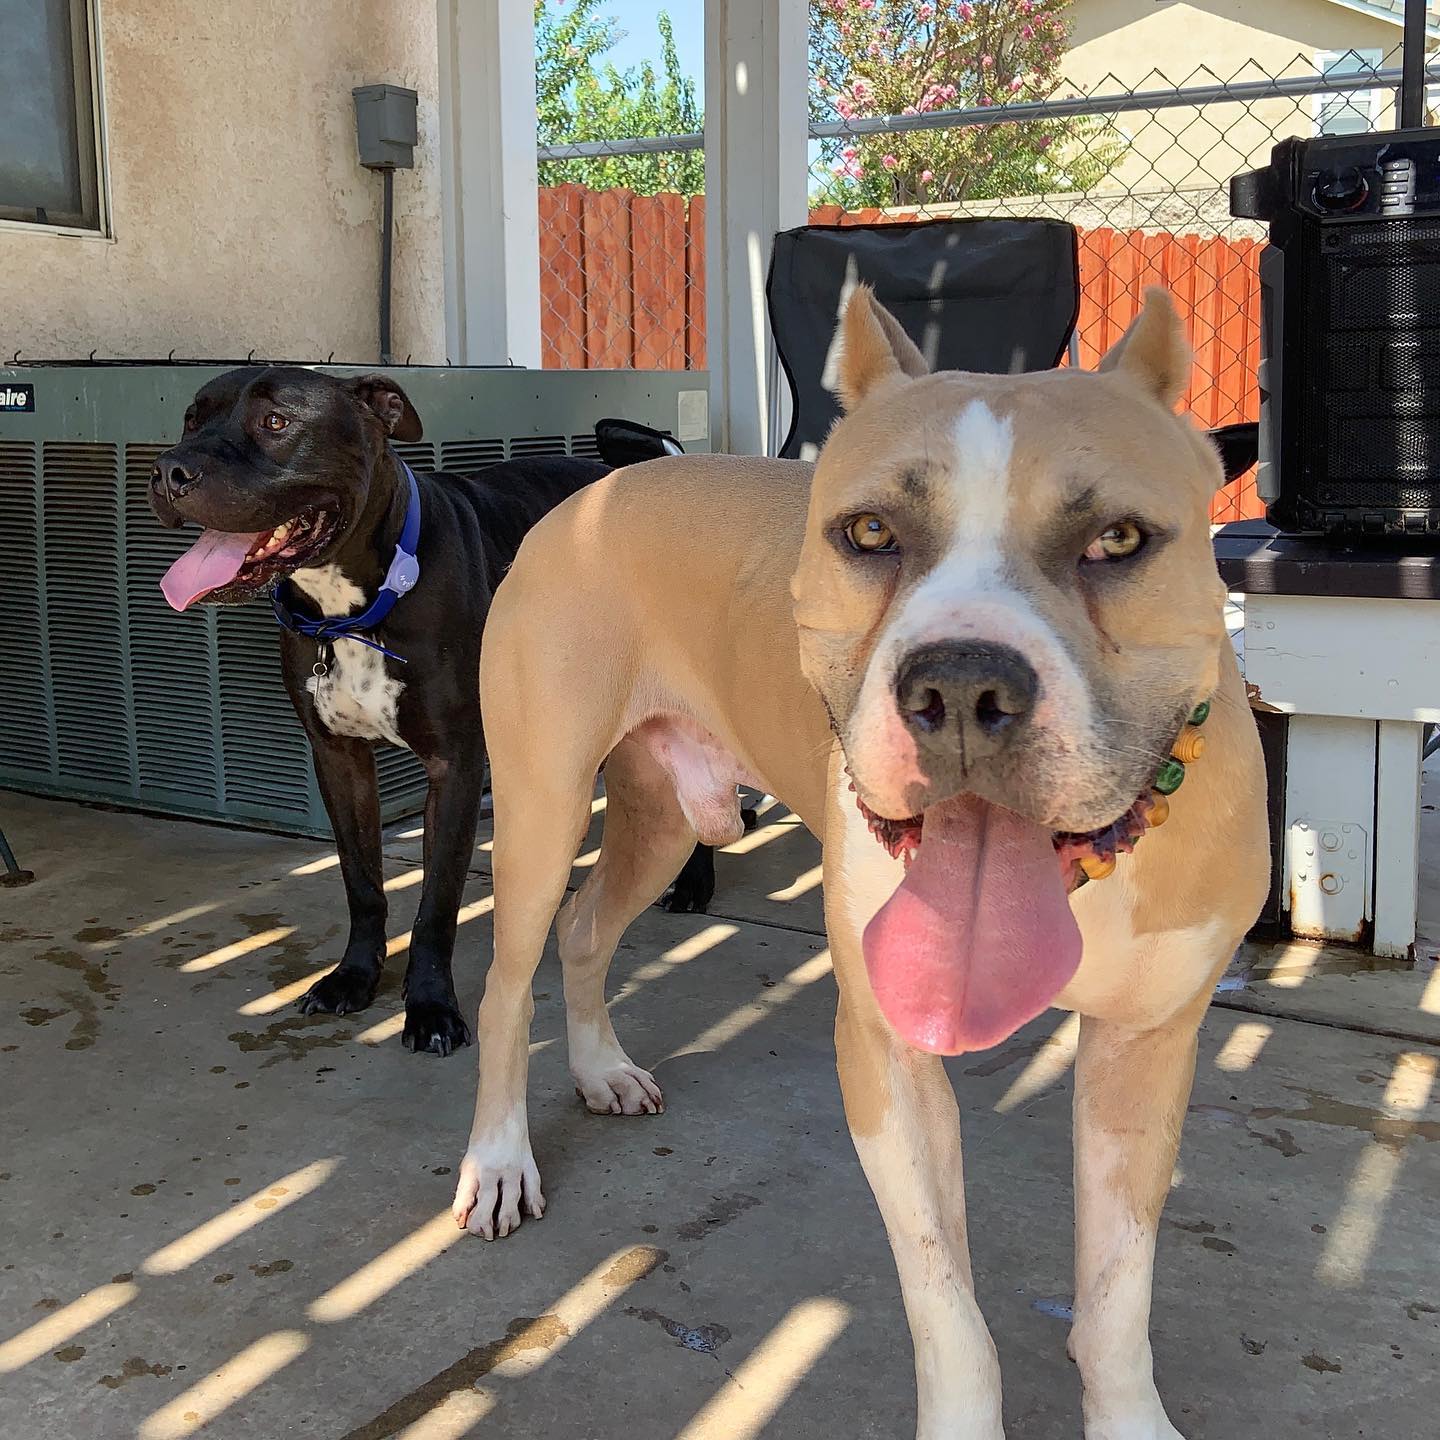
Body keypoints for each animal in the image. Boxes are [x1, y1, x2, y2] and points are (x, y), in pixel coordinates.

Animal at [153, 365, 607, 1054]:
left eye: (276, 421)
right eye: (190, 419)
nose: (168, 470)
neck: (355, 604)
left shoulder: (455, 765)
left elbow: (436, 903)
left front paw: (430, 1007)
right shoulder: (338, 760)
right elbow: (363, 883)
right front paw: (355, 976)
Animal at [455, 286, 1267, 1434]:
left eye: (1118, 539)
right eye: (870, 532)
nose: (962, 686)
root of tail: (595, 491)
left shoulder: (1145, 1049)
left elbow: (1117, 1297)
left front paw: (1128, 1418)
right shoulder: (887, 1054)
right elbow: (946, 1304)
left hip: (664, 824)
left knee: (584, 930)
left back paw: (601, 1068)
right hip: (541, 805)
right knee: (506, 980)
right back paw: (496, 1161)